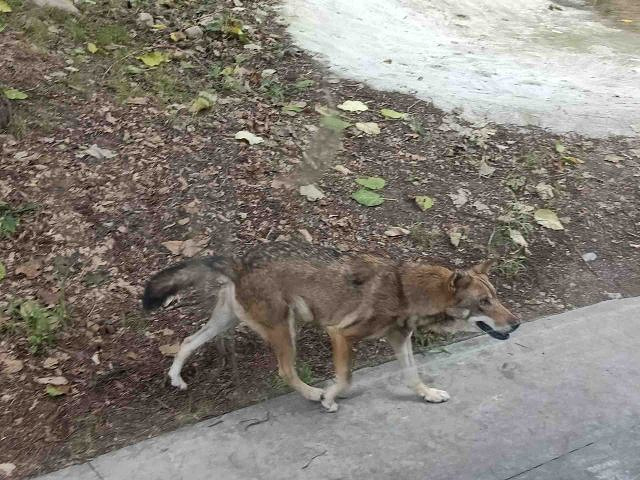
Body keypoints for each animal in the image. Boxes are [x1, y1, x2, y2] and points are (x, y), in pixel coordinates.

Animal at [141, 242, 520, 410]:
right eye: (484, 302)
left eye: (496, 297)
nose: (516, 324)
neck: (404, 290)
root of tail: (240, 264)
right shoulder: (340, 334)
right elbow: (346, 377)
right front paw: (329, 397)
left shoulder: (401, 340)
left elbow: (413, 376)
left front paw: (428, 395)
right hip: (286, 330)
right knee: (286, 372)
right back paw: (312, 394)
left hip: (225, 324)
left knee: (186, 342)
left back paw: (176, 379)